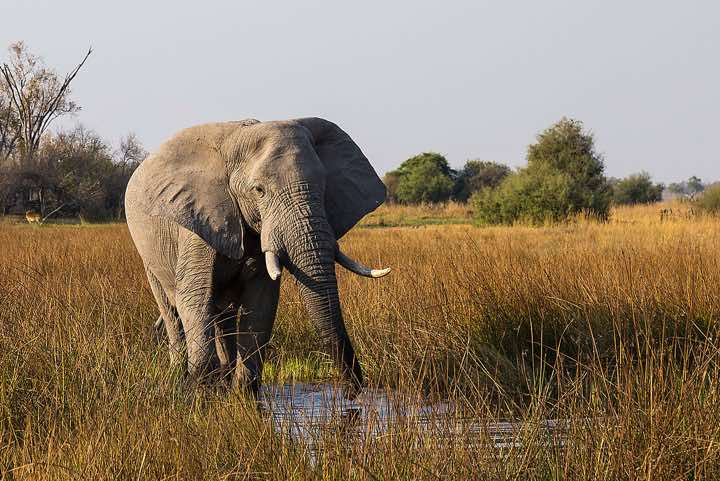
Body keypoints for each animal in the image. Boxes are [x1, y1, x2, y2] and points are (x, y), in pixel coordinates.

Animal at [125, 117, 389, 398]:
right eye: (259, 190)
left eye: (325, 186)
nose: (351, 393)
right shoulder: (199, 220)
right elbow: (194, 297)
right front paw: (200, 389)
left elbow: (261, 302)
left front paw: (243, 393)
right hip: (148, 255)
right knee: (173, 312)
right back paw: (181, 377)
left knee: (223, 315)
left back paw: (224, 379)